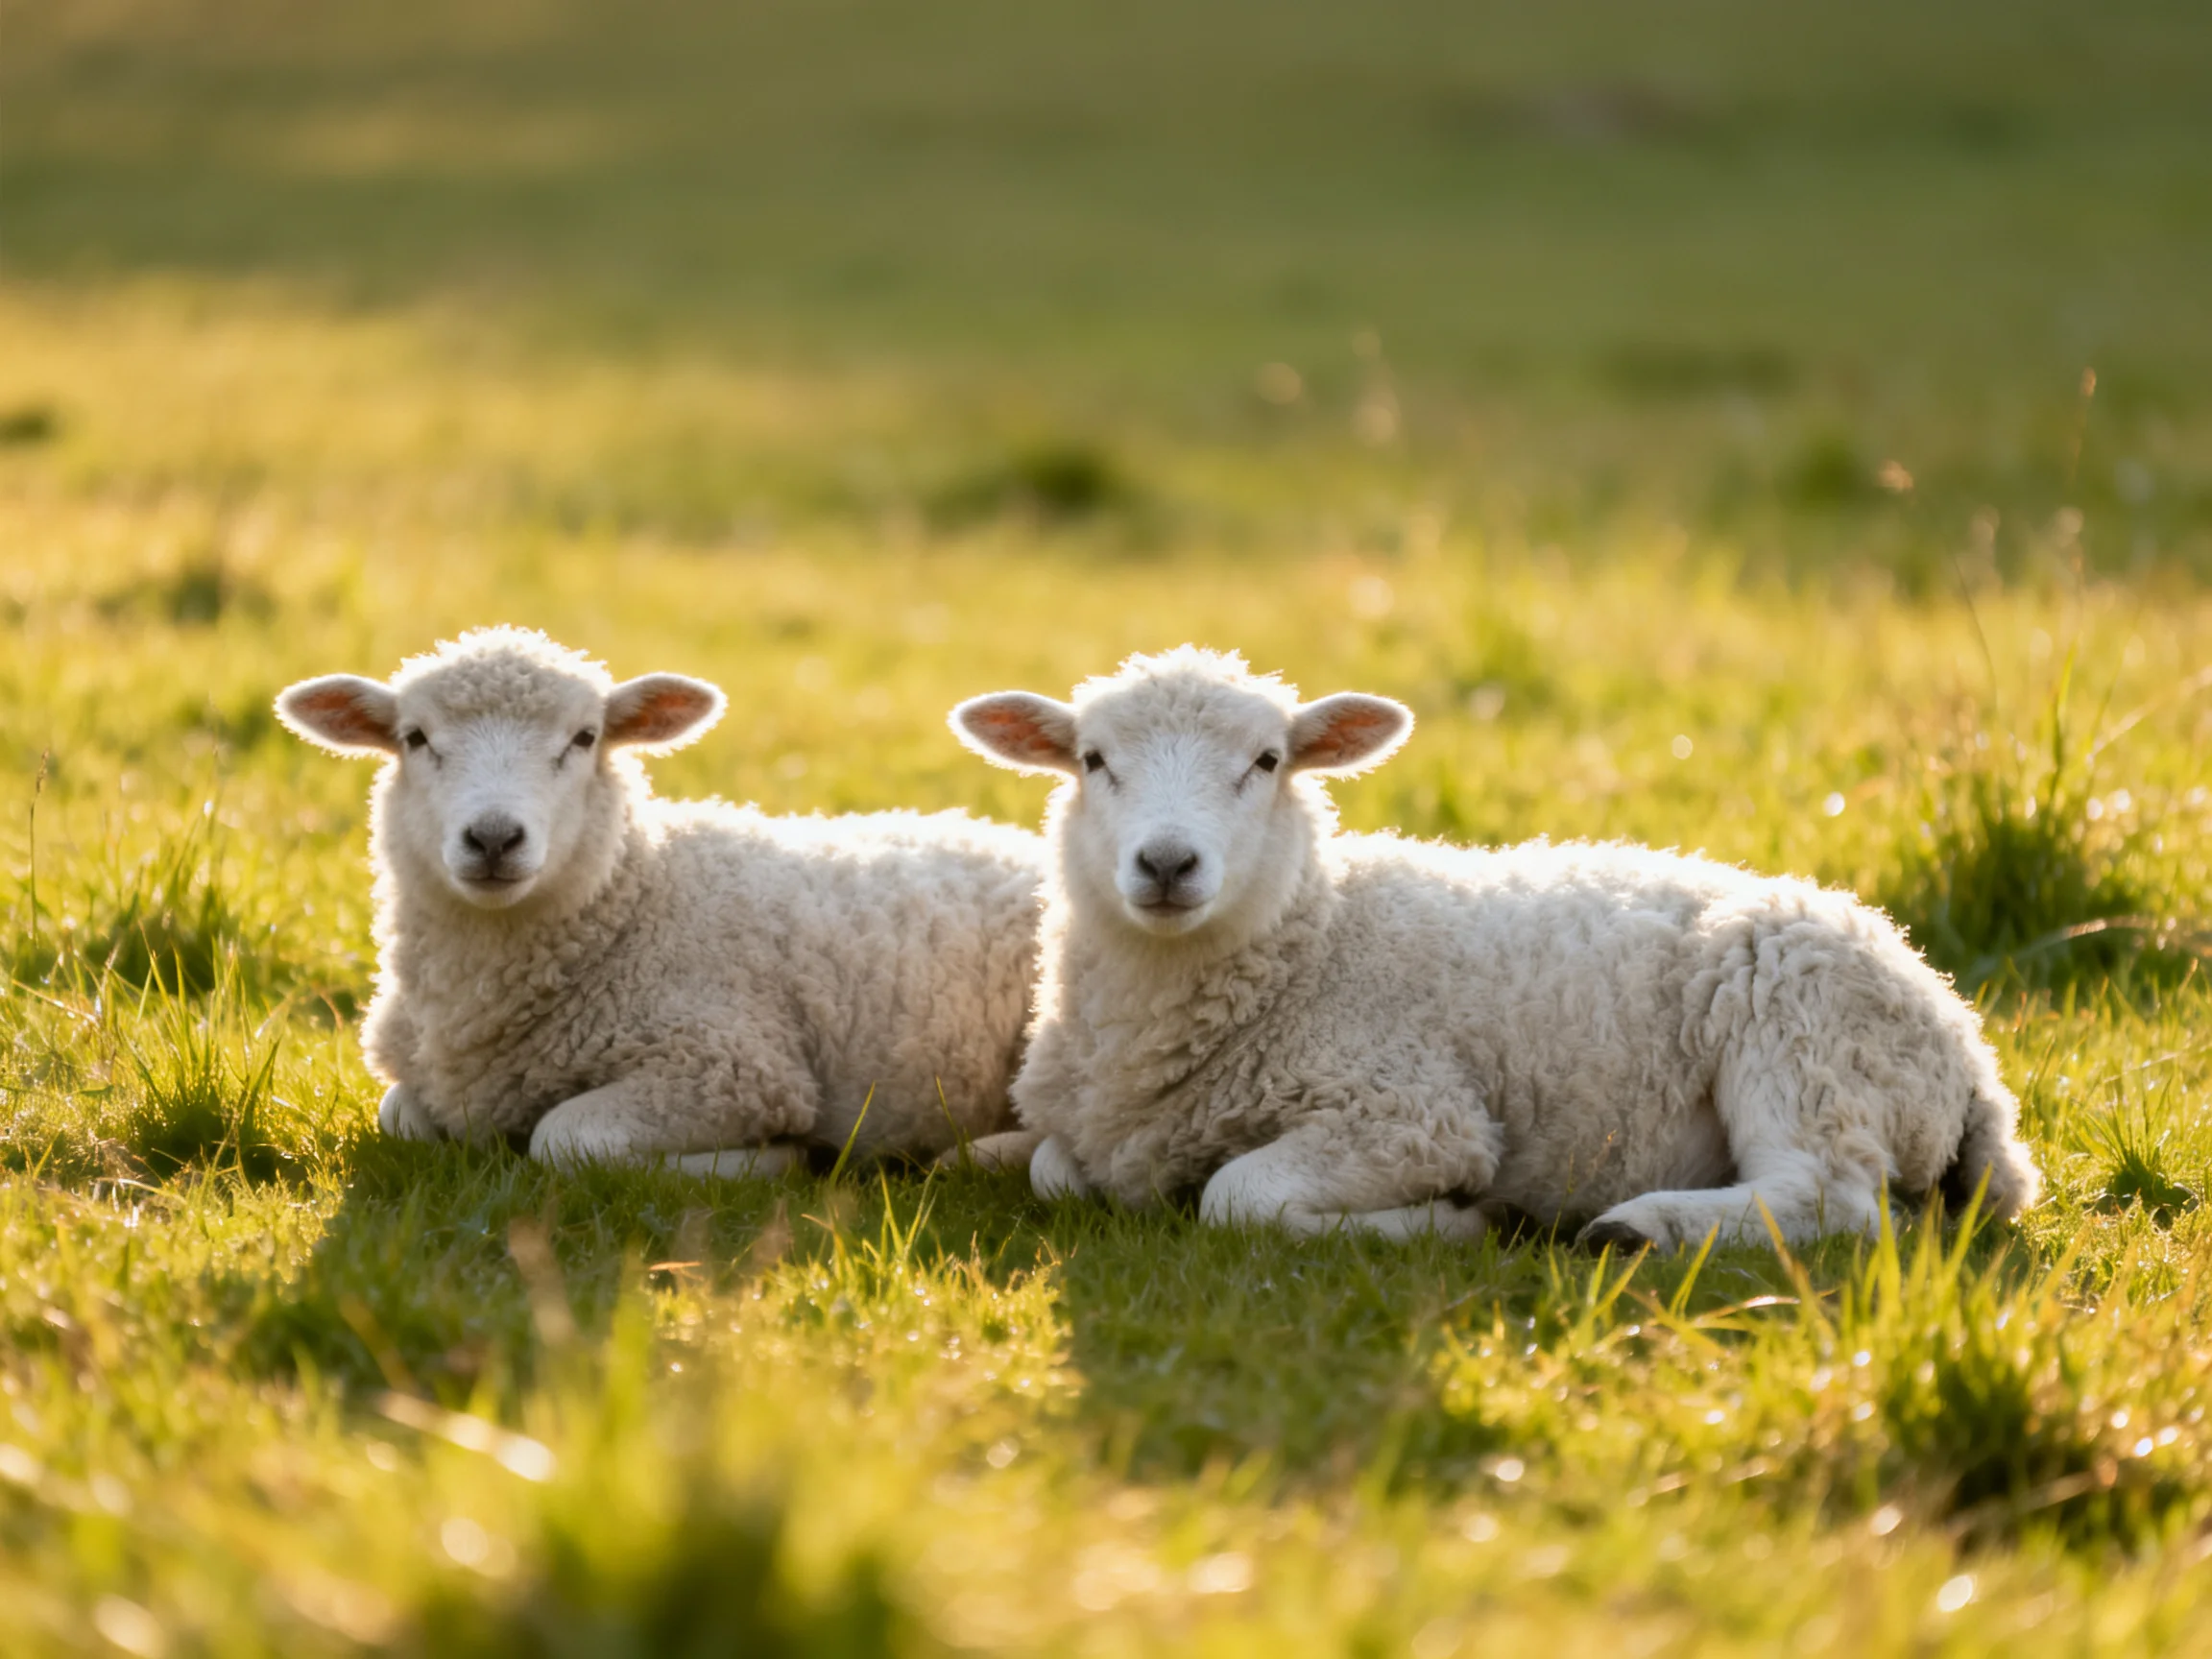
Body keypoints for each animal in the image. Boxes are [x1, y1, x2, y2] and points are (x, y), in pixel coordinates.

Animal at [276, 627, 1046, 1173]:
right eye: (415, 738)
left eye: (585, 738)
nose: (494, 837)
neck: (638, 897)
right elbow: (401, 1115)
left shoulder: (733, 1067)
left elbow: (563, 1138)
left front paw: (774, 1158)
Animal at [949, 646, 2041, 1248]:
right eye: (1093, 760)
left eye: (1266, 762)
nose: (1168, 864)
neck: (1312, 943)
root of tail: (1966, 1046)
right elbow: (1052, 1170)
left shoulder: (1413, 1115)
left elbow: (1235, 1197)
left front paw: (1451, 1224)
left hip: (1802, 1031)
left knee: (1833, 1199)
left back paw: (1636, 1229)